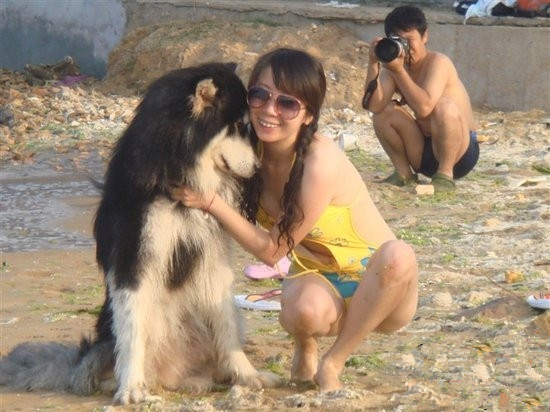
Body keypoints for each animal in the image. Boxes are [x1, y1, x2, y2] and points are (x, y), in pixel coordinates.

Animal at [0, 62, 279, 404]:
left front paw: (247, 374)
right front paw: (131, 387)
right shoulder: (133, 258)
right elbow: (133, 331)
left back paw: (196, 379)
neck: (176, 167)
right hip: (109, 339)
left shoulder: (212, 258)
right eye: (239, 126)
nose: (257, 169)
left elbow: (225, 324)